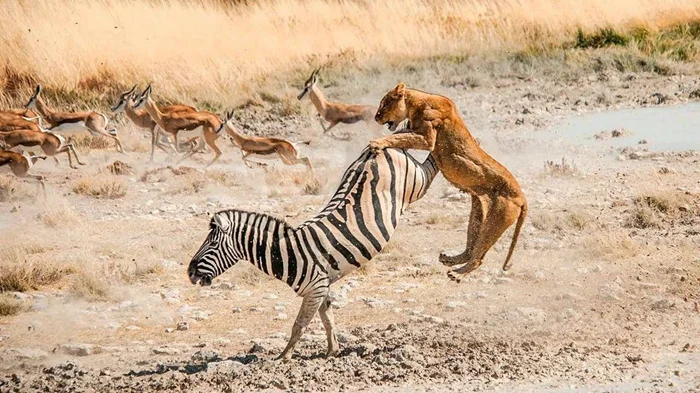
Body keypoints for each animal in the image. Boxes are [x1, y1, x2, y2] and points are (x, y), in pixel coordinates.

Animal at [186, 145, 438, 358]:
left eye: (211, 244)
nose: (189, 272)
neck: (288, 251)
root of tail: (378, 148)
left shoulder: (315, 288)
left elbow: (299, 324)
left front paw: (283, 357)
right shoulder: (322, 287)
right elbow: (328, 320)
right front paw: (332, 352)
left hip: (416, 182)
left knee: (431, 160)